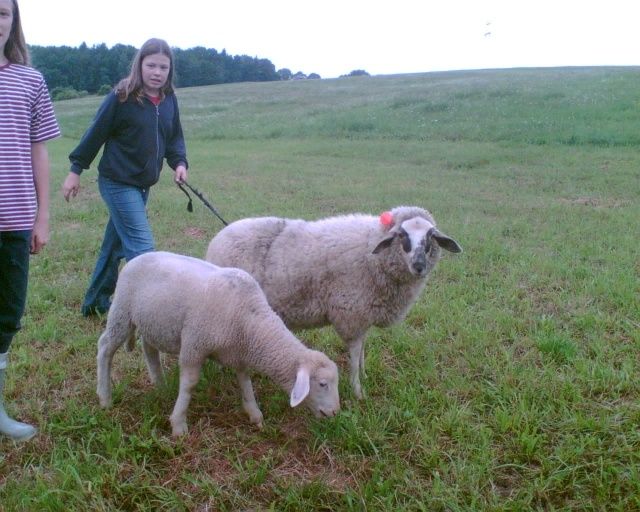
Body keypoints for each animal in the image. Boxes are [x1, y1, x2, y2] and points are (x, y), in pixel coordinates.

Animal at [95, 250, 340, 434]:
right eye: (322, 384)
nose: (336, 413)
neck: (249, 321)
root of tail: (136, 258)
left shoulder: (239, 352)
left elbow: (245, 381)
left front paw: (254, 414)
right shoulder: (194, 344)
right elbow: (190, 384)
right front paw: (179, 424)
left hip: (154, 322)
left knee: (149, 348)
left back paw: (161, 386)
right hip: (121, 312)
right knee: (105, 348)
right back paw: (105, 397)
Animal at [205, 204, 460, 400]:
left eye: (430, 237)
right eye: (402, 235)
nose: (419, 266)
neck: (372, 252)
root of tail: (218, 238)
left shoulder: (364, 314)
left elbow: (363, 349)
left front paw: (365, 375)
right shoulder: (351, 313)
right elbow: (355, 355)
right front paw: (358, 391)